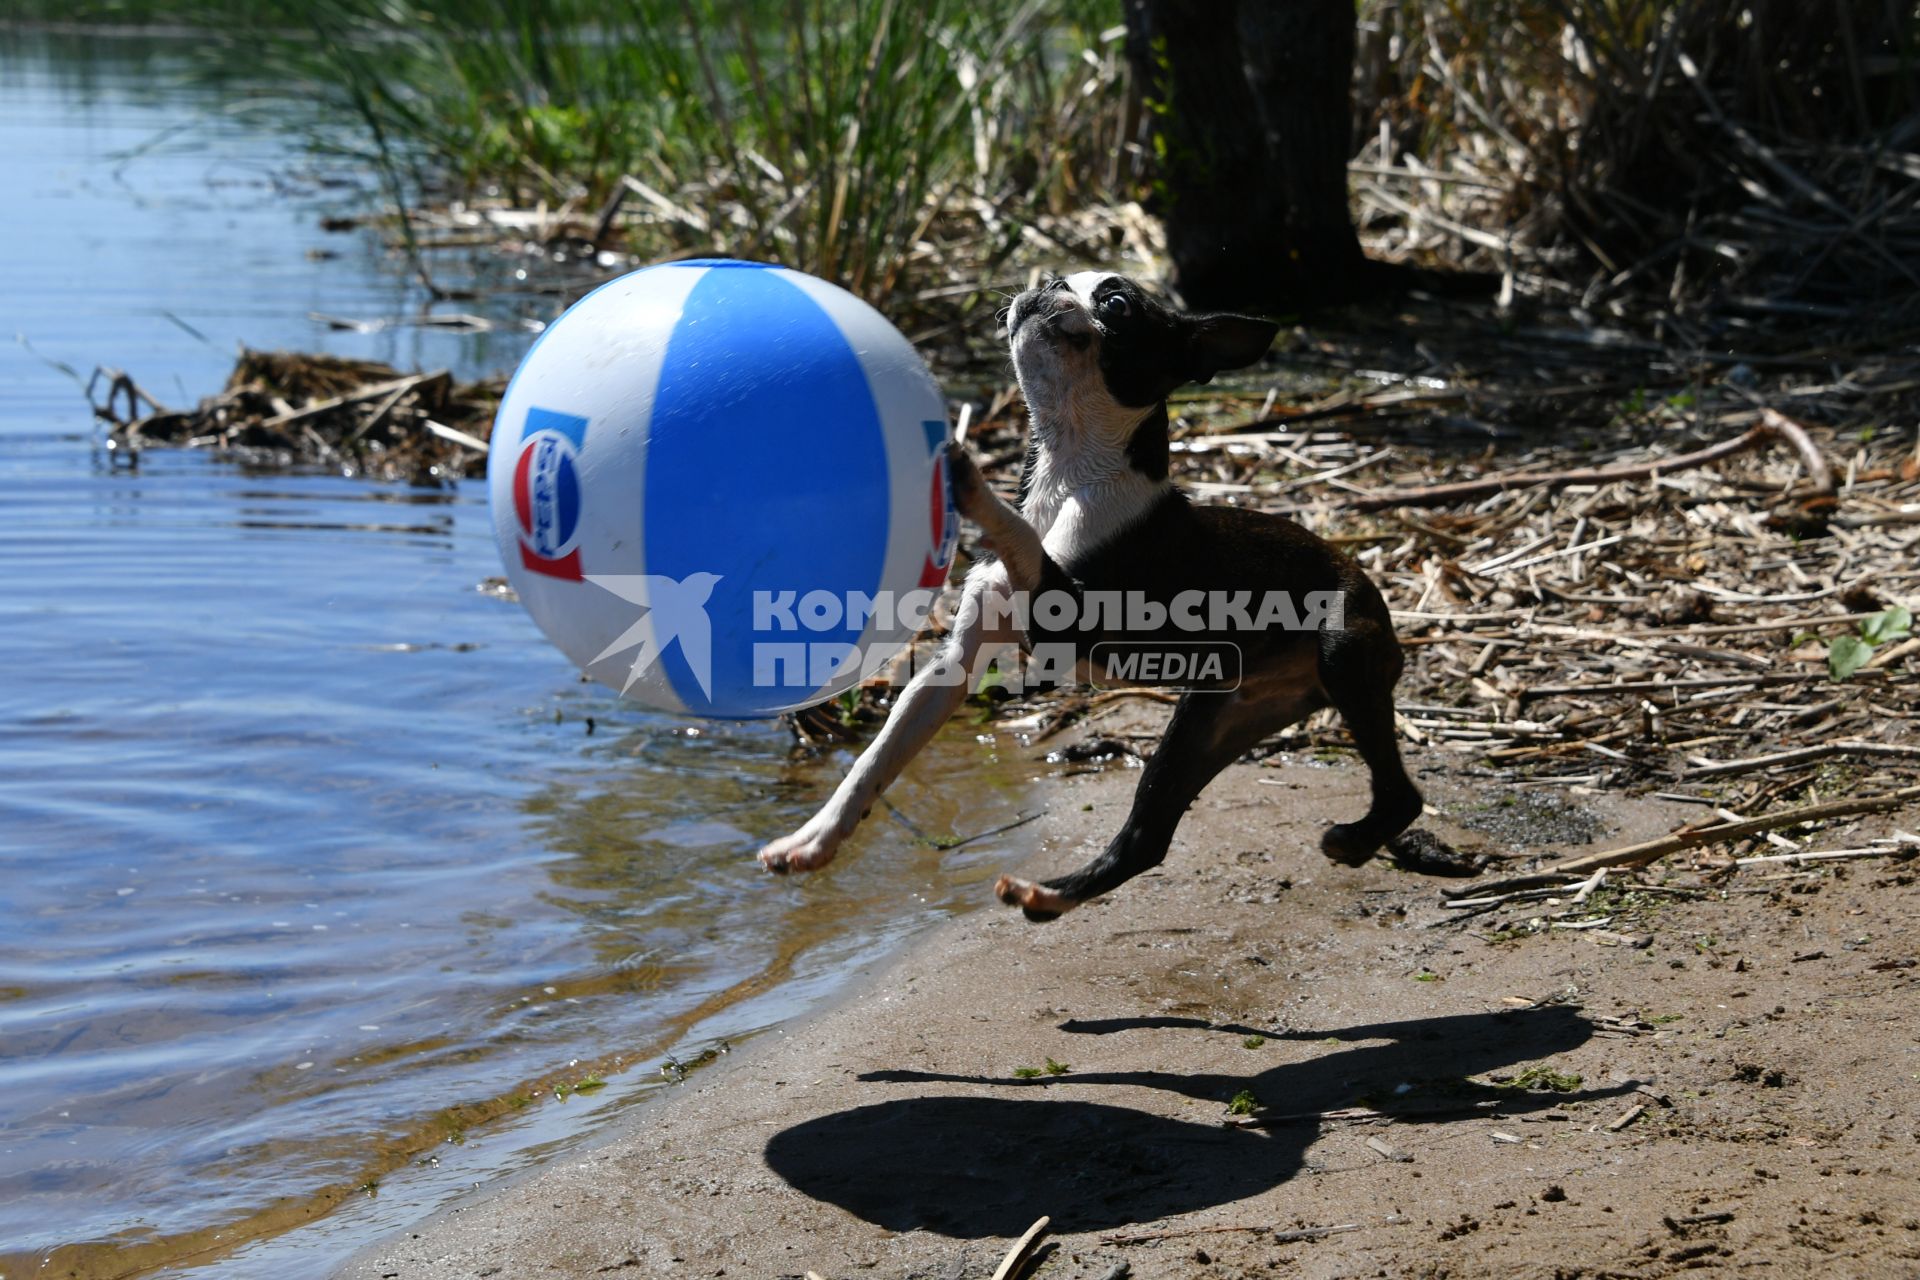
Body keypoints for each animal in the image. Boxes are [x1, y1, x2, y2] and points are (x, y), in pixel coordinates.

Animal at [756, 272, 1420, 921]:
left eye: (1118, 304)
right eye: (1058, 279)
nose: (1047, 285)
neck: (1069, 472)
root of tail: (1366, 579)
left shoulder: (1068, 622)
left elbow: (1020, 535)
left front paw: (970, 481)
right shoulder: (951, 669)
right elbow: (876, 759)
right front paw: (813, 840)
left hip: (1341, 651)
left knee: (1400, 794)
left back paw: (1355, 839)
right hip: (1218, 713)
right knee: (1150, 836)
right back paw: (1048, 896)